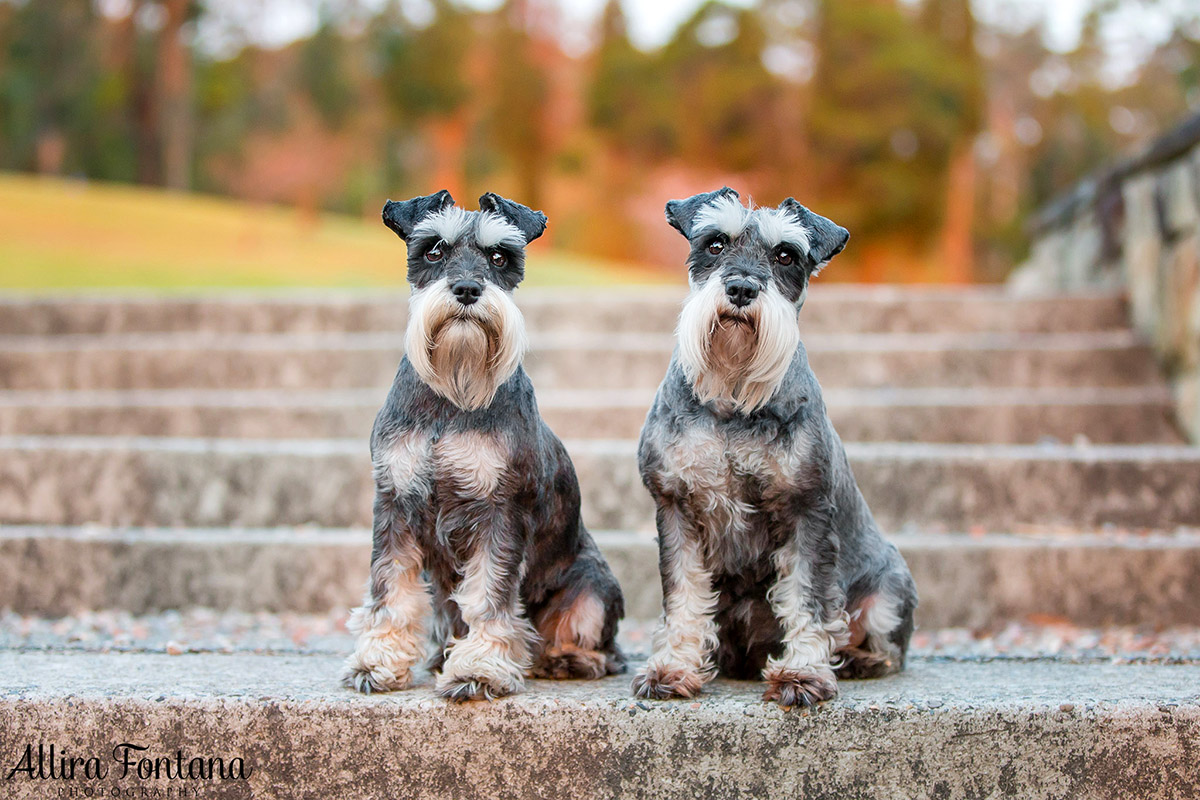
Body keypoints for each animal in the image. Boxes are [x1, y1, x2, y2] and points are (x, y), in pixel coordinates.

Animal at [343, 190, 628, 705]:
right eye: (434, 250)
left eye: (500, 257)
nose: (467, 289)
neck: (452, 394)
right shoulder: (394, 502)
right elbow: (390, 589)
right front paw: (377, 662)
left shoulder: (500, 511)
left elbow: (489, 598)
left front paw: (480, 669)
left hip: (593, 586)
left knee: (598, 645)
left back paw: (562, 659)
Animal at [628, 188, 916, 705]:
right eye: (715, 243)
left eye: (786, 255)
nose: (742, 289)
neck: (732, 397)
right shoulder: (676, 507)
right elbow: (683, 594)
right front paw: (673, 667)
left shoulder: (807, 510)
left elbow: (808, 597)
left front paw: (803, 672)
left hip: (890, 589)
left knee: (884, 645)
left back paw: (858, 659)